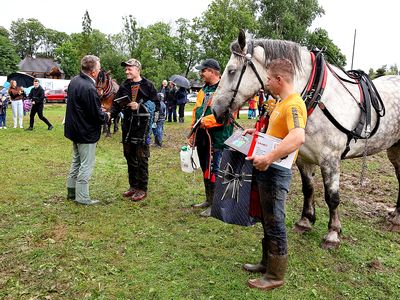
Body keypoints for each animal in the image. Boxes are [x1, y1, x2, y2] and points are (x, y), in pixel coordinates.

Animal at [211, 31, 400, 250]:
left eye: (231, 71)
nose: (215, 110)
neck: (317, 97)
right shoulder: (303, 157)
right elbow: (308, 188)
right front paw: (305, 221)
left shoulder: (330, 158)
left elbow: (332, 197)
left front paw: (332, 233)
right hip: (394, 148)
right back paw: (396, 216)